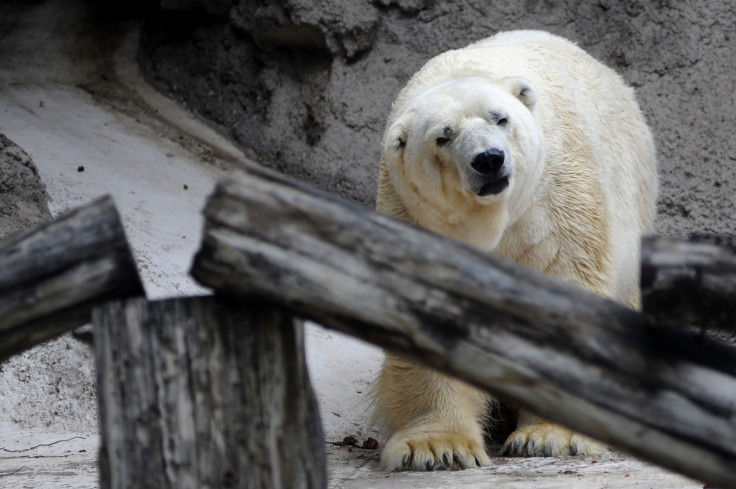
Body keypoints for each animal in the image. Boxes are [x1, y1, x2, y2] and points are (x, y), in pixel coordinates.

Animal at [374, 29, 656, 468]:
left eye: (500, 118)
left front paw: (552, 436)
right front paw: (438, 447)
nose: (489, 159)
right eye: (443, 136)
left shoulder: (555, 201)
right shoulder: (414, 215)